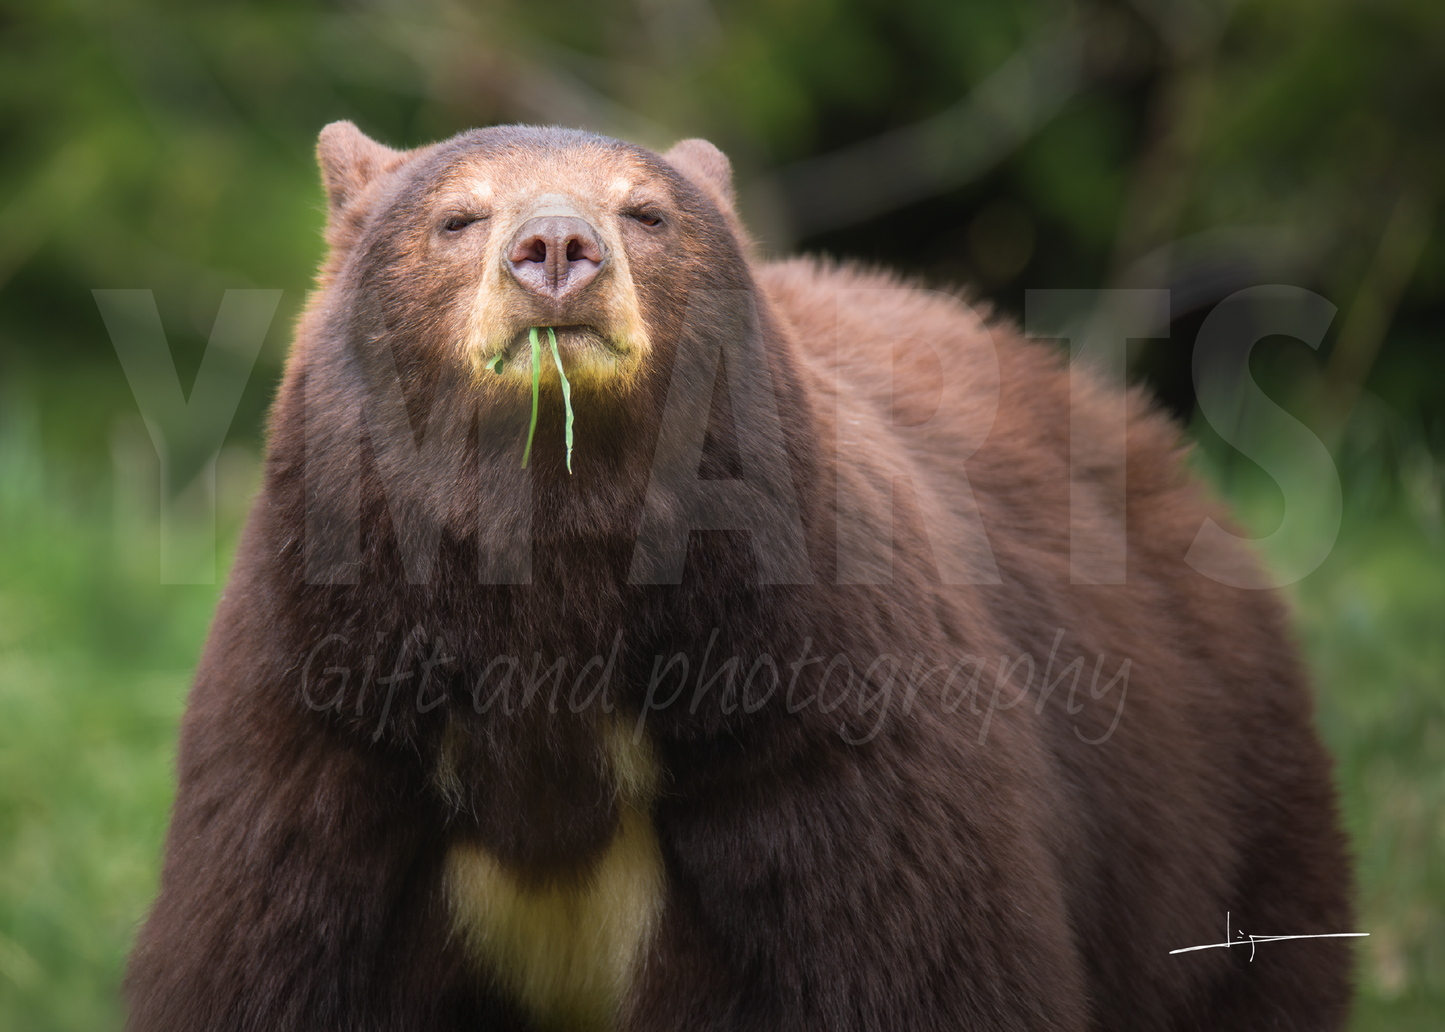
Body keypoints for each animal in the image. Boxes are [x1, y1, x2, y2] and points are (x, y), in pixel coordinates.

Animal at [124, 121, 1355, 1032]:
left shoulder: (819, 713)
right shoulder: (325, 722)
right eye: (456, 215)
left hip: (1218, 808)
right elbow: (264, 959)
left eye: (645, 212)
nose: (556, 251)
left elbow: (915, 957)